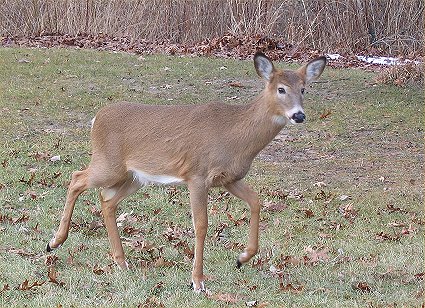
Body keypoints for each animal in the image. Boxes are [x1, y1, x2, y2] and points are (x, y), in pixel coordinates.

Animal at [47, 52, 324, 292]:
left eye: (303, 89)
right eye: (281, 89)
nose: (299, 115)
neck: (235, 136)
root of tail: (97, 117)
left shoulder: (229, 178)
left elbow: (256, 201)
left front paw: (242, 257)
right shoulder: (197, 175)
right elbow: (201, 225)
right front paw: (197, 281)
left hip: (134, 177)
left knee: (106, 200)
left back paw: (121, 261)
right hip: (108, 164)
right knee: (77, 178)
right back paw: (54, 242)